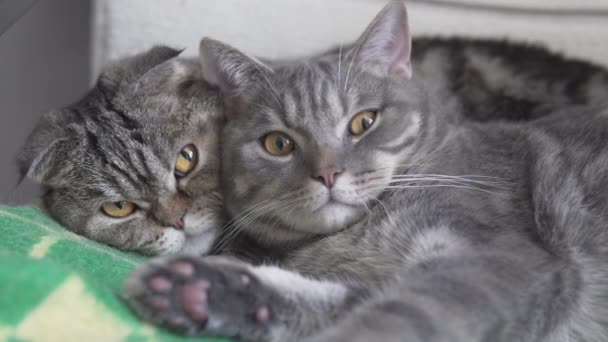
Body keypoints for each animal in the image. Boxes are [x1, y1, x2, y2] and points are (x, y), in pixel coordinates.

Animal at [124, 1, 608, 340]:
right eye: (278, 143)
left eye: (363, 122)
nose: (327, 174)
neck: (353, 241)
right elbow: (339, 298)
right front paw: (204, 290)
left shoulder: (495, 259)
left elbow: (400, 318)